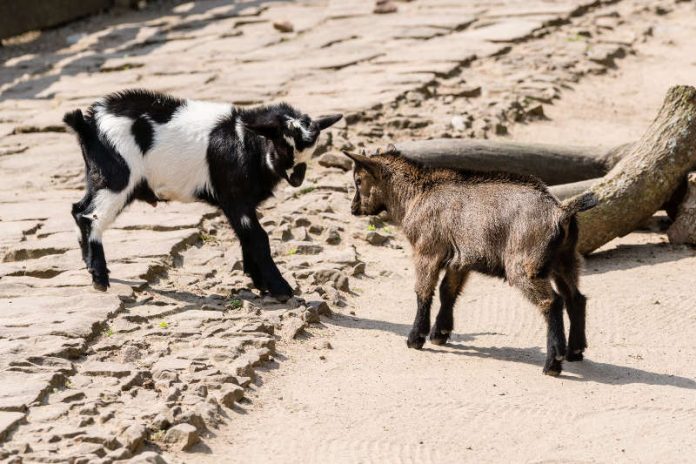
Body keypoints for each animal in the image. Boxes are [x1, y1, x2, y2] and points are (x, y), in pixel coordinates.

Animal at [64, 89, 342, 300]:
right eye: (282, 147)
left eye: (309, 153)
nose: (296, 180)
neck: (243, 141)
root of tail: (88, 123)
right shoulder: (235, 197)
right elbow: (258, 238)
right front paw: (280, 289)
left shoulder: (242, 203)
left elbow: (247, 237)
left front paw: (260, 283)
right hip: (117, 177)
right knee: (91, 216)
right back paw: (100, 278)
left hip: (99, 176)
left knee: (78, 209)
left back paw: (88, 263)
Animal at [344, 149, 600, 376]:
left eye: (358, 180)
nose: (354, 208)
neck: (416, 194)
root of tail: (560, 211)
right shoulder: (460, 259)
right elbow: (448, 291)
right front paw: (440, 333)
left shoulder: (427, 251)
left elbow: (424, 292)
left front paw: (416, 338)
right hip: (565, 259)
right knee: (575, 298)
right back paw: (575, 351)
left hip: (524, 265)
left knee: (551, 302)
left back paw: (553, 364)